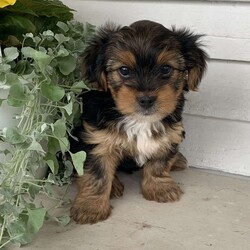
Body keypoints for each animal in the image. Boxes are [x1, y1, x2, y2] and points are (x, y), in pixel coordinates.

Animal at [70, 19, 207, 223]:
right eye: (124, 70)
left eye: (166, 69)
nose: (146, 99)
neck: (138, 120)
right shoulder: (97, 142)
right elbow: (97, 174)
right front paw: (91, 207)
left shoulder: (169, 134)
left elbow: (159, 163)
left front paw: (160, 187)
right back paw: (114, 186)